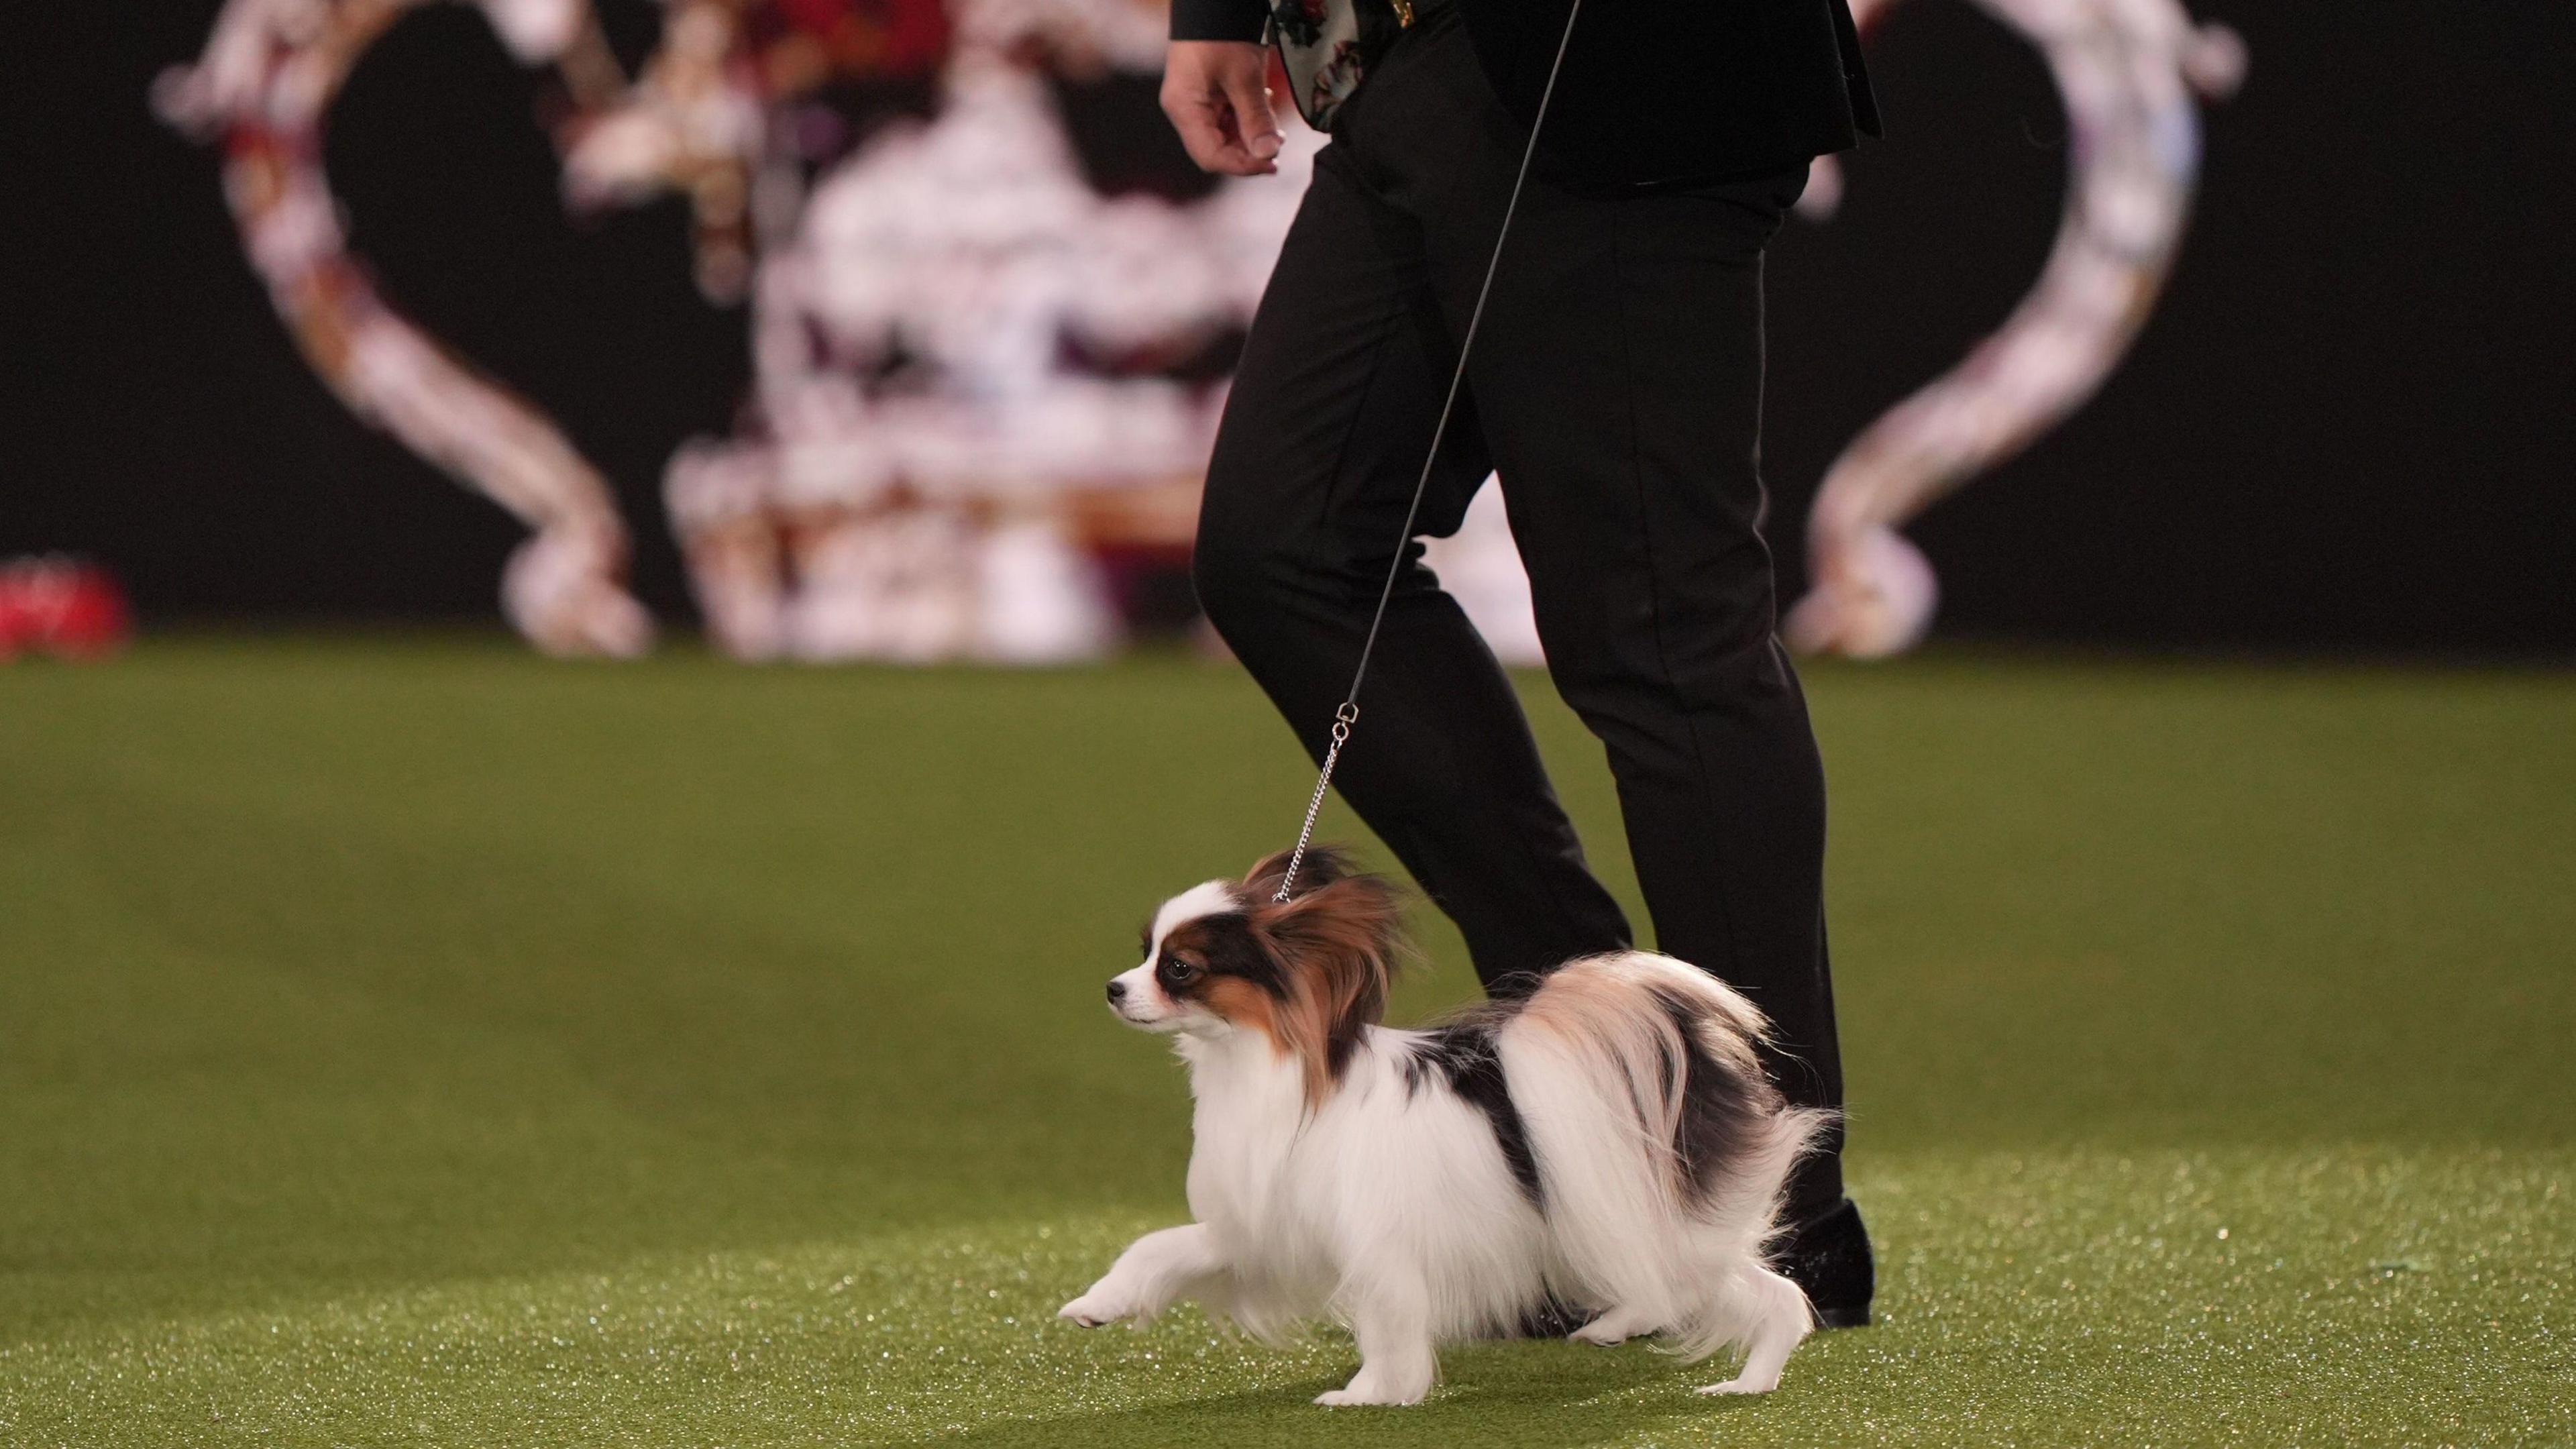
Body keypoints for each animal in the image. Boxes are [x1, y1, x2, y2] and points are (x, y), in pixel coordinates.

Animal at [1061, 845, 1834, 1402]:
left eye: (1179, 969)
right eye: (1144, 951)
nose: (1113, 989)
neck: (1256, 1066)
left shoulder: (1378, 1248)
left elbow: (1388, 1327)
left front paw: (1372, 1396)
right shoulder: (1258, 1228)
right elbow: (1157, 1248)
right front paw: (1099, 1303)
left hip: (1662, 1227)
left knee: (1778, 1298)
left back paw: (1747, 1384)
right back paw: (1629, 1331)